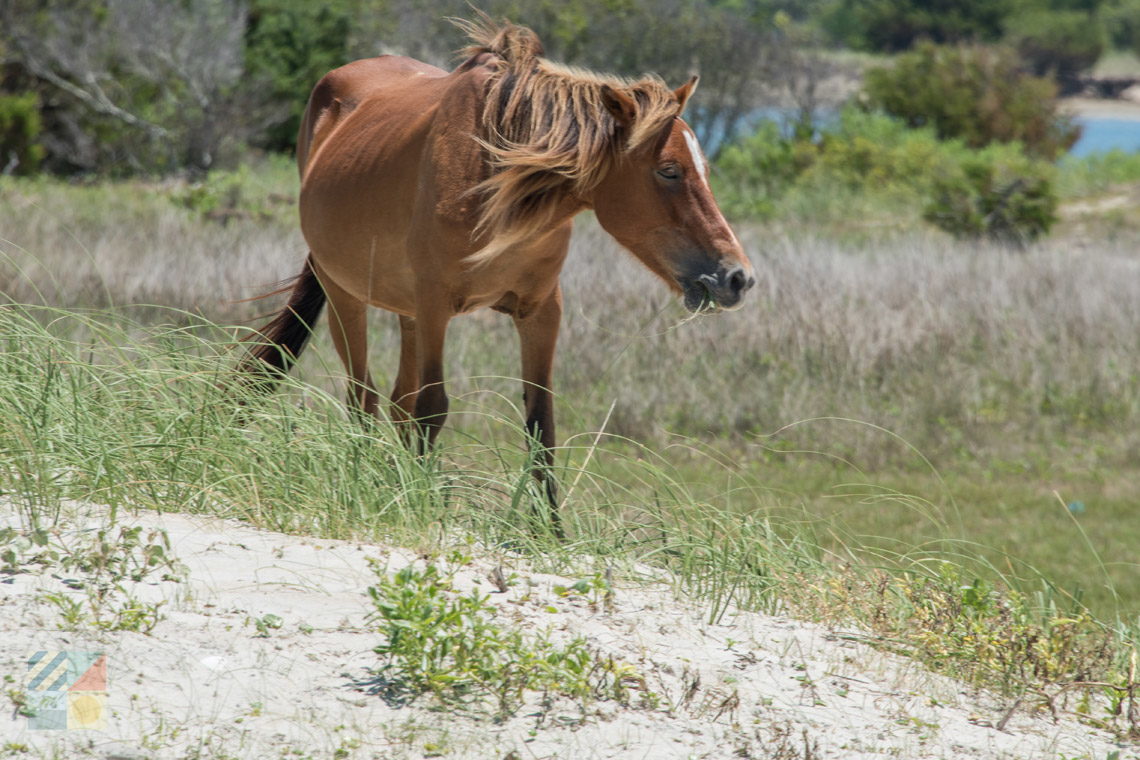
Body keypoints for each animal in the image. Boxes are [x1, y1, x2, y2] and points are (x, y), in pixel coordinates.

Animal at [241, 19, 756, 528]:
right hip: (346, 296)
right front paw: (419, 506)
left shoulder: (541, 313)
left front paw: (550, 534)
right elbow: (433, 409)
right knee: (362, 400)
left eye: (704, 170)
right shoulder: (435, 306)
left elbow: (540, 425)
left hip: (406, 313)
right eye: (669, 171)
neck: (496, 180)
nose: (738, 277)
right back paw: (362, 482)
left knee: (395, 401)